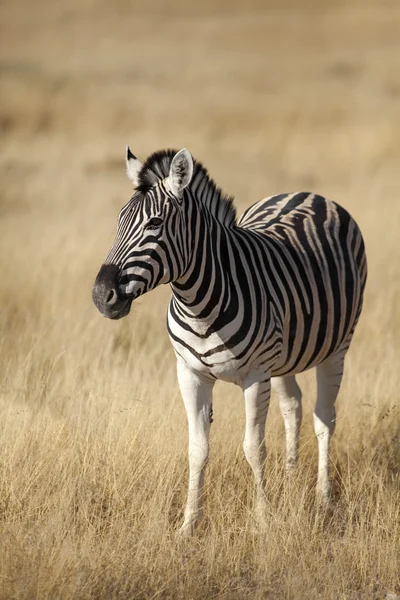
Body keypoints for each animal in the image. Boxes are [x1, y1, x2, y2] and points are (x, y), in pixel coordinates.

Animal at [92, 148, 368, 536]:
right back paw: (290, 480)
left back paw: (323, 498)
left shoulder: (256, 375)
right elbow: (197, 449)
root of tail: (308, 193)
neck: (199, 305)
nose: (102, 296)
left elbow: (253, 447)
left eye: (155, 224)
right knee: (293, 406)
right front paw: (189, 525)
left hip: (336, 348)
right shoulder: (190, 374)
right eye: (119, 222)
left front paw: (263, 521)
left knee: (324, 419)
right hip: (283, 358)